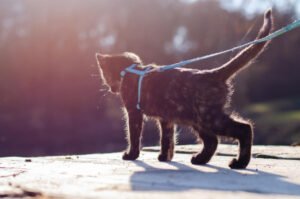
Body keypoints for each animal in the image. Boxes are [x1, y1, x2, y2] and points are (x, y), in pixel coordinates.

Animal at [95, 8, 272, 168]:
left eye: (104, 76)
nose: (110, 88)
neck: (131, 70)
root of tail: (213, 74)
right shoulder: (166, 118)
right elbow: (167, 139)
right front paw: (165, 157)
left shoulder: (134, 112)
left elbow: (134, 135)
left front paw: (131, 155)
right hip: (199, 120)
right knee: (212, 141)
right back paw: (200, 159)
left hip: (209, 118)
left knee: (244, 129)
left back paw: (239, 163)